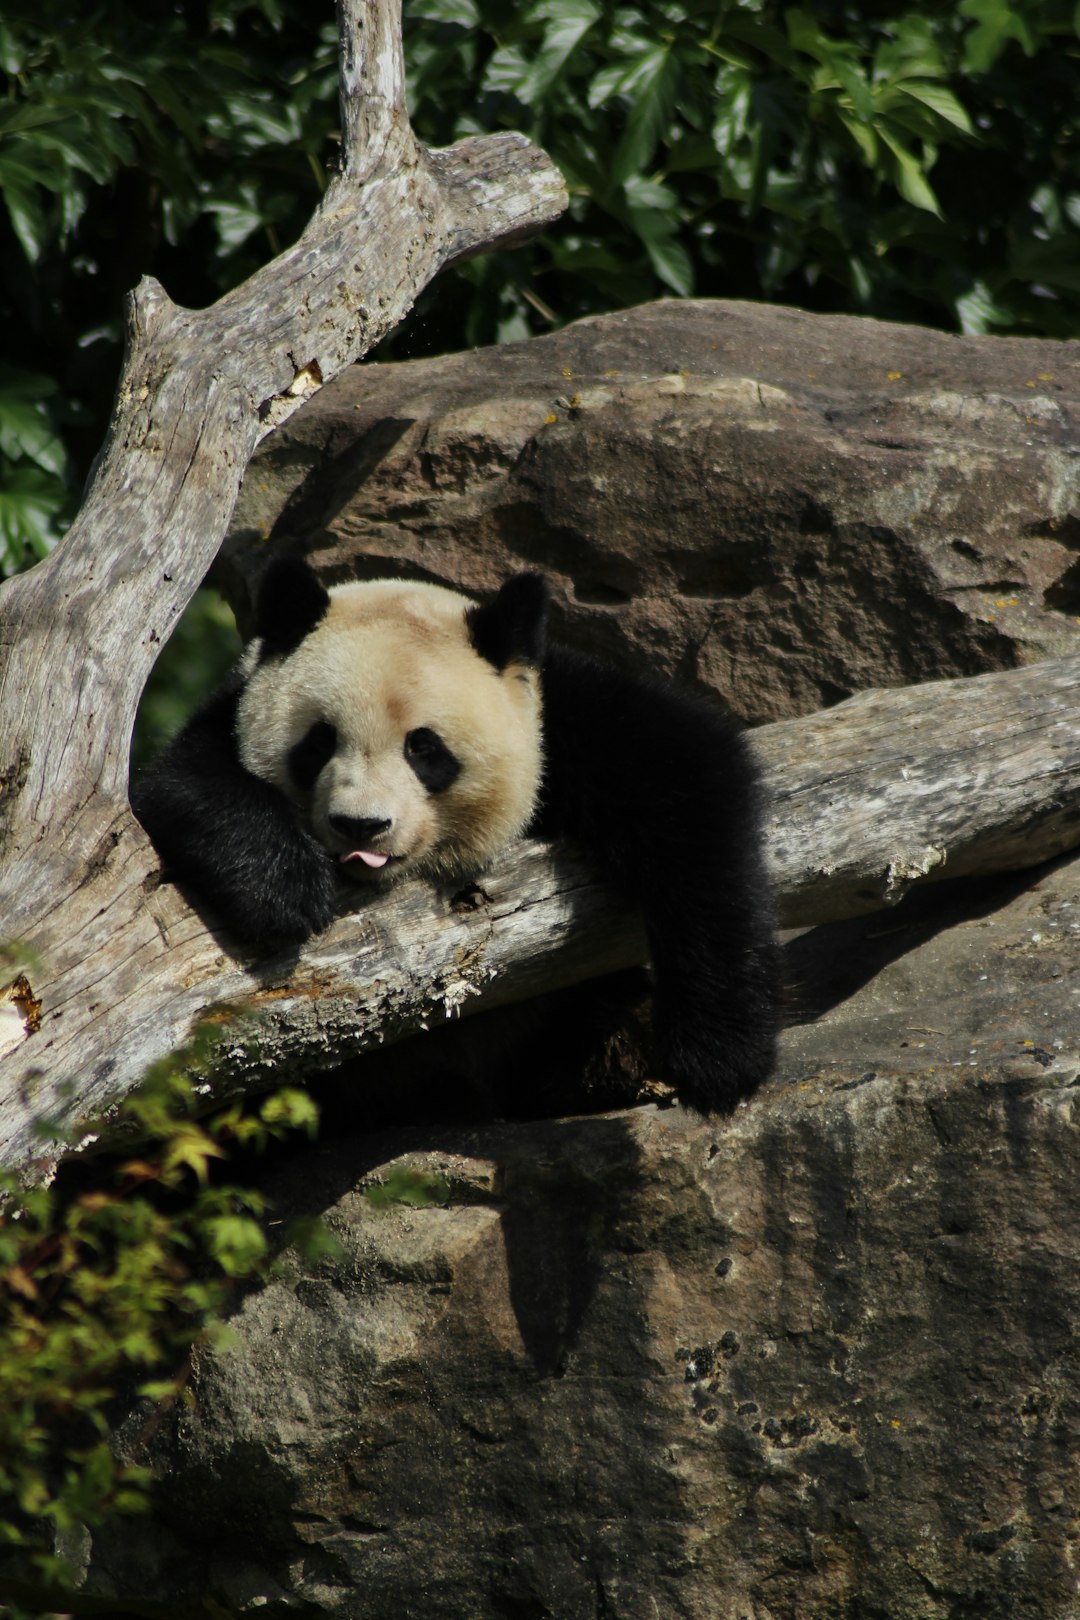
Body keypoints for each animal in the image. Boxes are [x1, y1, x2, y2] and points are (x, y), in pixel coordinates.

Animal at [132, 557, 777, 1114]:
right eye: (319, 742)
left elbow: (688, 783)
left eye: (424, 748)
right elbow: (180, 785)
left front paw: (717, 1061)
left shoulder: (561, 720)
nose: (362, 826)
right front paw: (283, 889)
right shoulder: (223, 715)